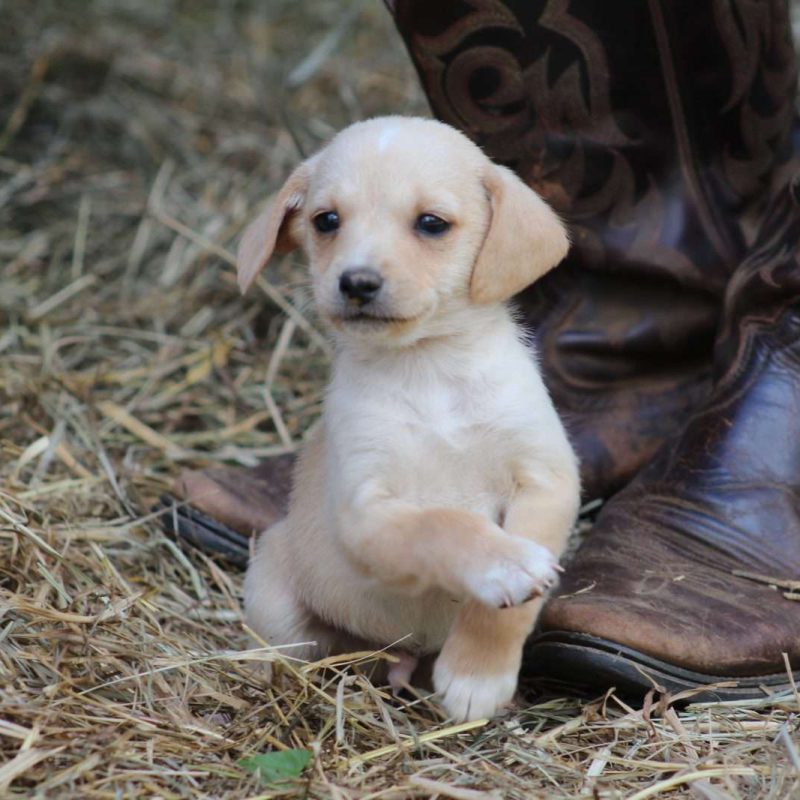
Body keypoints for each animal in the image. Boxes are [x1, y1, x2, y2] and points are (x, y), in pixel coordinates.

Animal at [241, 115, 580, 720]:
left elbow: (507, 612)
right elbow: (442, 524)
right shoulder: (366, 512)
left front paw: (477, 675)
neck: (429, 370)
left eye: (431, 223)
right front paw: (502, 563)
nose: (356, 283)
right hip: (273, 591)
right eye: (326, 221)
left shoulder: (547, 479)